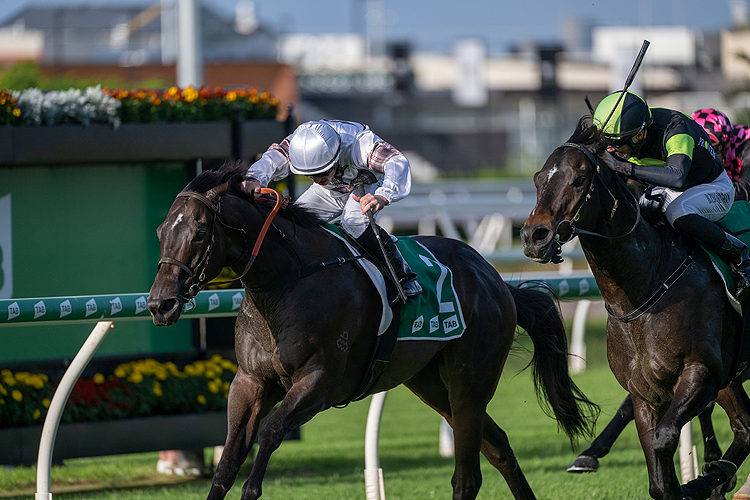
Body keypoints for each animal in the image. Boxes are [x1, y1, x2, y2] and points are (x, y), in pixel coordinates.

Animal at [148, 162, 600, 498]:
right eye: (160, 232)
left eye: (200, 233)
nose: (159, 304)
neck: (287, 282)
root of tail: (497, 282)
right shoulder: (249, 382)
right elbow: (227, 461)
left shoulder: (320, 382)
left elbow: (272, 431)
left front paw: (254, 486)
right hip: (430, 383)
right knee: (499, 447)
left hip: (471, 379)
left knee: (467, 476)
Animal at [520, 120, 750, 500]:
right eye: (539, 179)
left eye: (579, 179)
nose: (533, 237)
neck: (646, 288)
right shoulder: (646, 392)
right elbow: (657, 477)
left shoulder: (701, 373)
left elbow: (664, 440)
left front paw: (695, 483)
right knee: (745, 426)